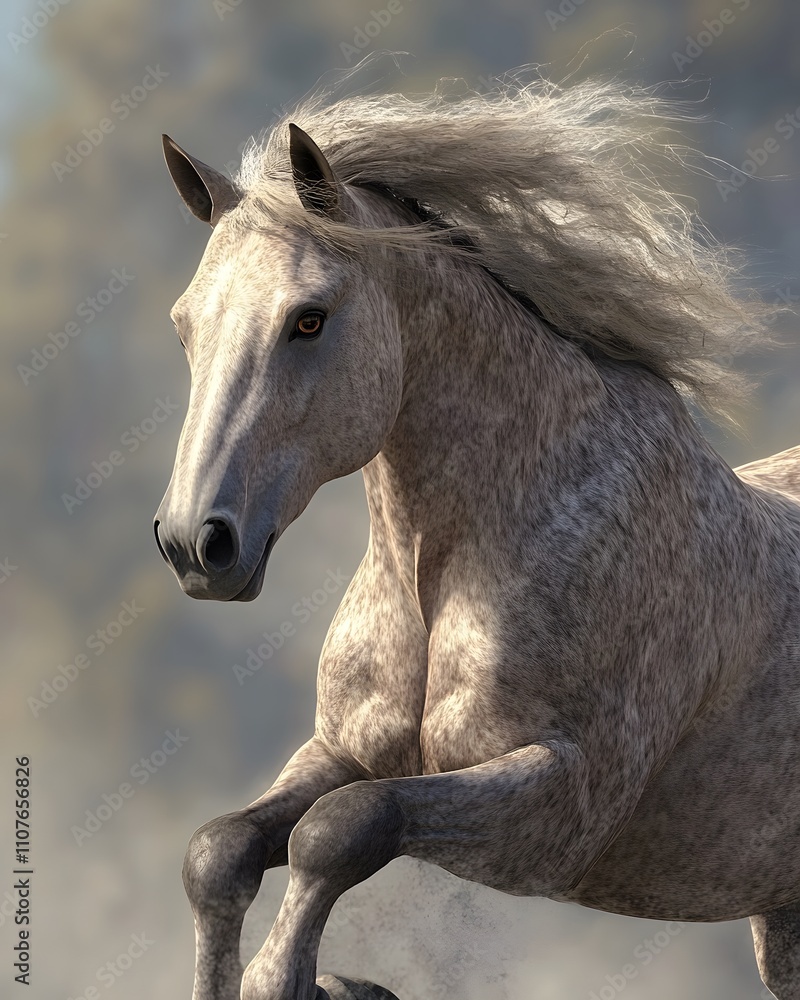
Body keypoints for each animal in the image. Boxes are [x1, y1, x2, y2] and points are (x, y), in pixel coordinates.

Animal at [153, 72, 800, 1000]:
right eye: (185, 324)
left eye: (309, 318)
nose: (195, 544)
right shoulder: (343, 749)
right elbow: (223, 848)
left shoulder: (559, 803)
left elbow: (341, 830)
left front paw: (319, 982)